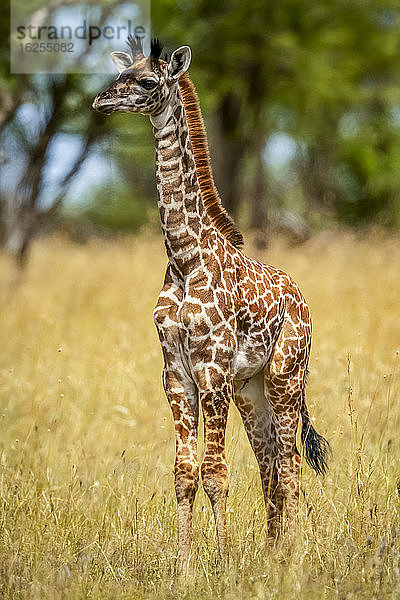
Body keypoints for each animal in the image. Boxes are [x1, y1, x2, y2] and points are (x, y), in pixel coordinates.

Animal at [92, 36, 330, 572]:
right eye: (120, 75)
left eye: (147, 81)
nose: (100, 101)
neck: (183, 258)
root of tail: (304, 302)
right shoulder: (176, 373)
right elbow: (184, 471)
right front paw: (184, 565)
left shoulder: (212, 369)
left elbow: (215, 471)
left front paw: (220, 562)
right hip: (251, 389)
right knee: (269, 463)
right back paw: (271, 551)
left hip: (284, 378)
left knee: (290, 463)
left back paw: (294, 555)